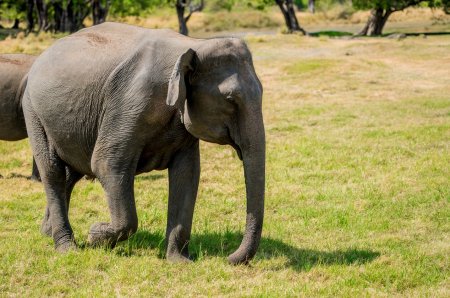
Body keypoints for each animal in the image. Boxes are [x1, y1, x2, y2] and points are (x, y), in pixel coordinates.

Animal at [23, 22, 264, 266]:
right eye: (230, 100)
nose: (228, 257)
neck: (192, 45)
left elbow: (187, 174)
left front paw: (179, 262)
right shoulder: (130, 102)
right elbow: (107, 164)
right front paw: (95, 235)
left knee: (71, 173)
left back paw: (47, 232)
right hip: (33, 111)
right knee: (53, 171)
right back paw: (66, 248)